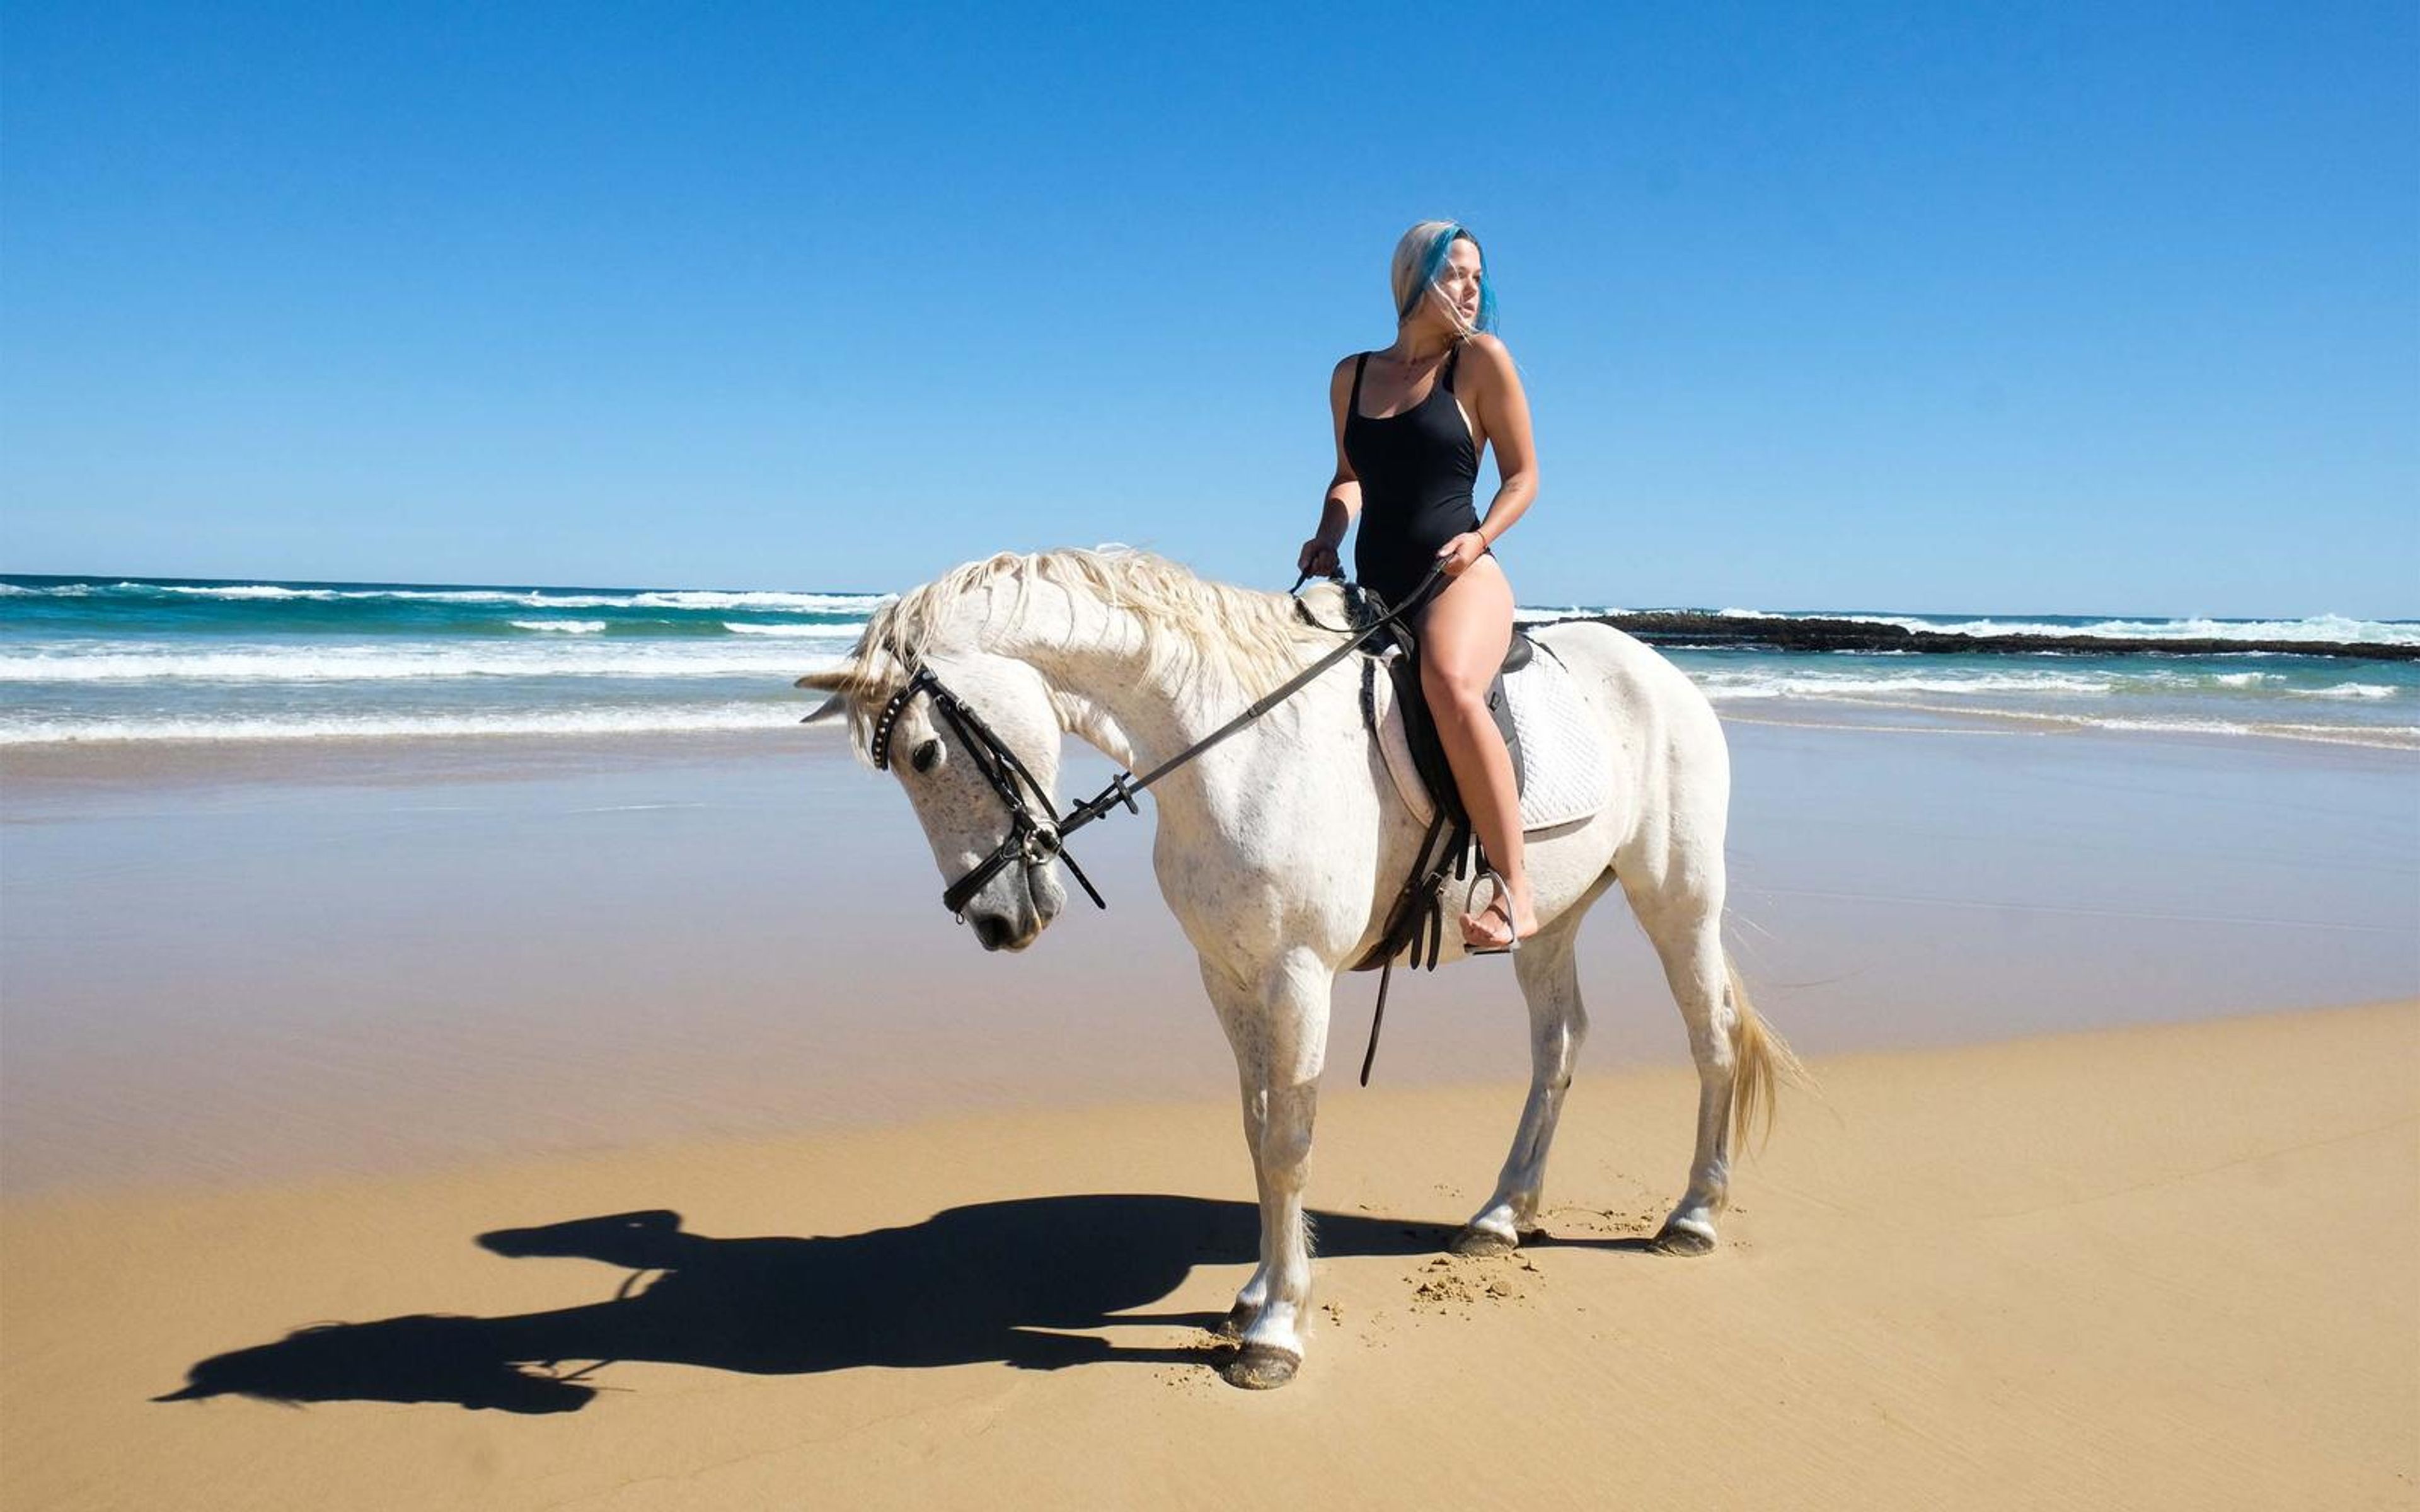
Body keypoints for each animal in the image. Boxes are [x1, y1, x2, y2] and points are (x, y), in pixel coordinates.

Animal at [796, 547, 1790, 1390]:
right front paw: (1256, 1293)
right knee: (1559, 1047)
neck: (1231, 746)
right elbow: (1255, 1129)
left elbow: (1289, 1143)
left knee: (1710, 1036)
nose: (996, 921)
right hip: (1549, 922)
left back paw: (1692, 1217)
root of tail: (1660, 670)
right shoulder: (1228, 977)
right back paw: (1502, 1215)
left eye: (927, 754)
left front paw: (1276, 1332)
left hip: (1678, 898)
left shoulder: (1297, 977)